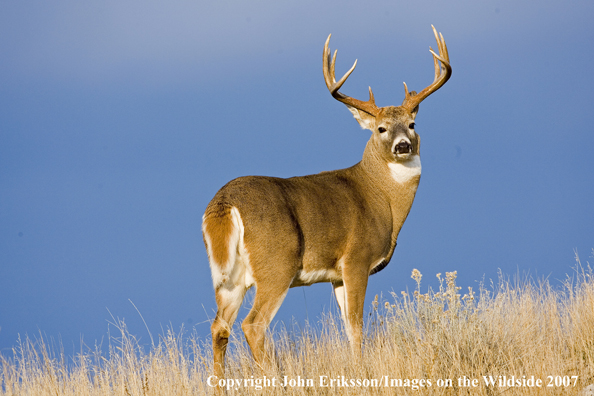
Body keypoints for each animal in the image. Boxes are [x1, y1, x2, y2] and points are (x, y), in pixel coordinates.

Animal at [204, 25, 448, 378]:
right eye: (381, 128)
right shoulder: (356, 258)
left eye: (412, 124)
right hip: (276, 264)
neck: (382, 198)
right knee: (253, 325)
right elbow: (357, 327)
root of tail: (223, 203)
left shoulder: (335, 275)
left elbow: (347, 327)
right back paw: (276, 379)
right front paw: (361, 373)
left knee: (219, 327)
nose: (403, 146)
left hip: (229, 277)